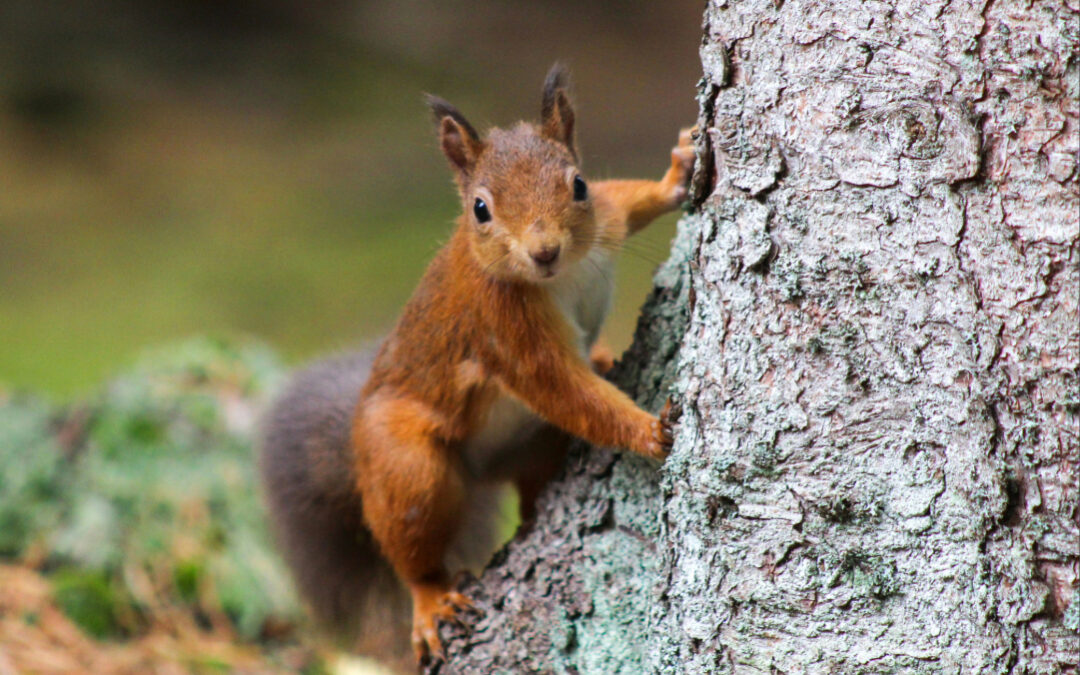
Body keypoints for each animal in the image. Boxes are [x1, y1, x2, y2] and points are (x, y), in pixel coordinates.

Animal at [258, 63, 694, 667]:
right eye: (480, 209)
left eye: (578, 184)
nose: (544, 251)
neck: (561, 277)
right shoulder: (506, 332)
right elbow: (566, 391)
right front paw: (651, 430)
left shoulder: (605, 220)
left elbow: (627, 199)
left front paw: (679, 171)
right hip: (406, 466)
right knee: (412, 544)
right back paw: (430, 601)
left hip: (534, 446)